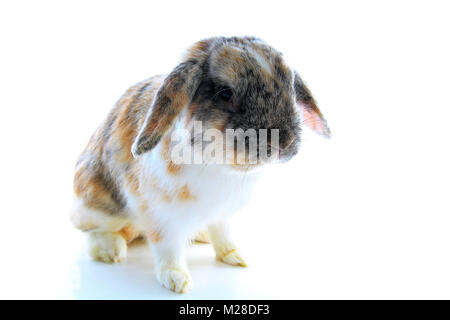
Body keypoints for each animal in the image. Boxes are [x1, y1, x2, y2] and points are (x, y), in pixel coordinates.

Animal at [71, 36, 330, 294]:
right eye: (225, 93)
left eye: (291, 87)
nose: (284, 142)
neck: (222, 165)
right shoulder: (163, 220)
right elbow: (169, 250)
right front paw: (177, 280)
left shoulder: (222, 214)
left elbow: (223, 236)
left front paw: (236, 257)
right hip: (98, 206)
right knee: (93, 233)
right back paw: (111, 251)